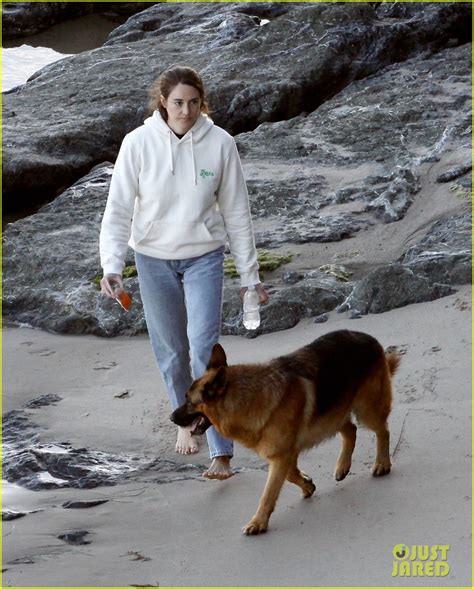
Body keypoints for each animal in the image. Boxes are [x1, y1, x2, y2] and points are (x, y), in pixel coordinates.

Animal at [170, 328, 400, 536]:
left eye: (189, 402)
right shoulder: (285, 452)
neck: (248, 399)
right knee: (351, 430)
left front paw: (258, 522)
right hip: (331, 415)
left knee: (383, 431)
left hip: (366, 410)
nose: (171, 418)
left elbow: (268, 493)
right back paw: (342, 466)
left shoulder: (282, 454)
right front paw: (306, 485)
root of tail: (369, 338)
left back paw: (382, 463)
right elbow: (290, 474)